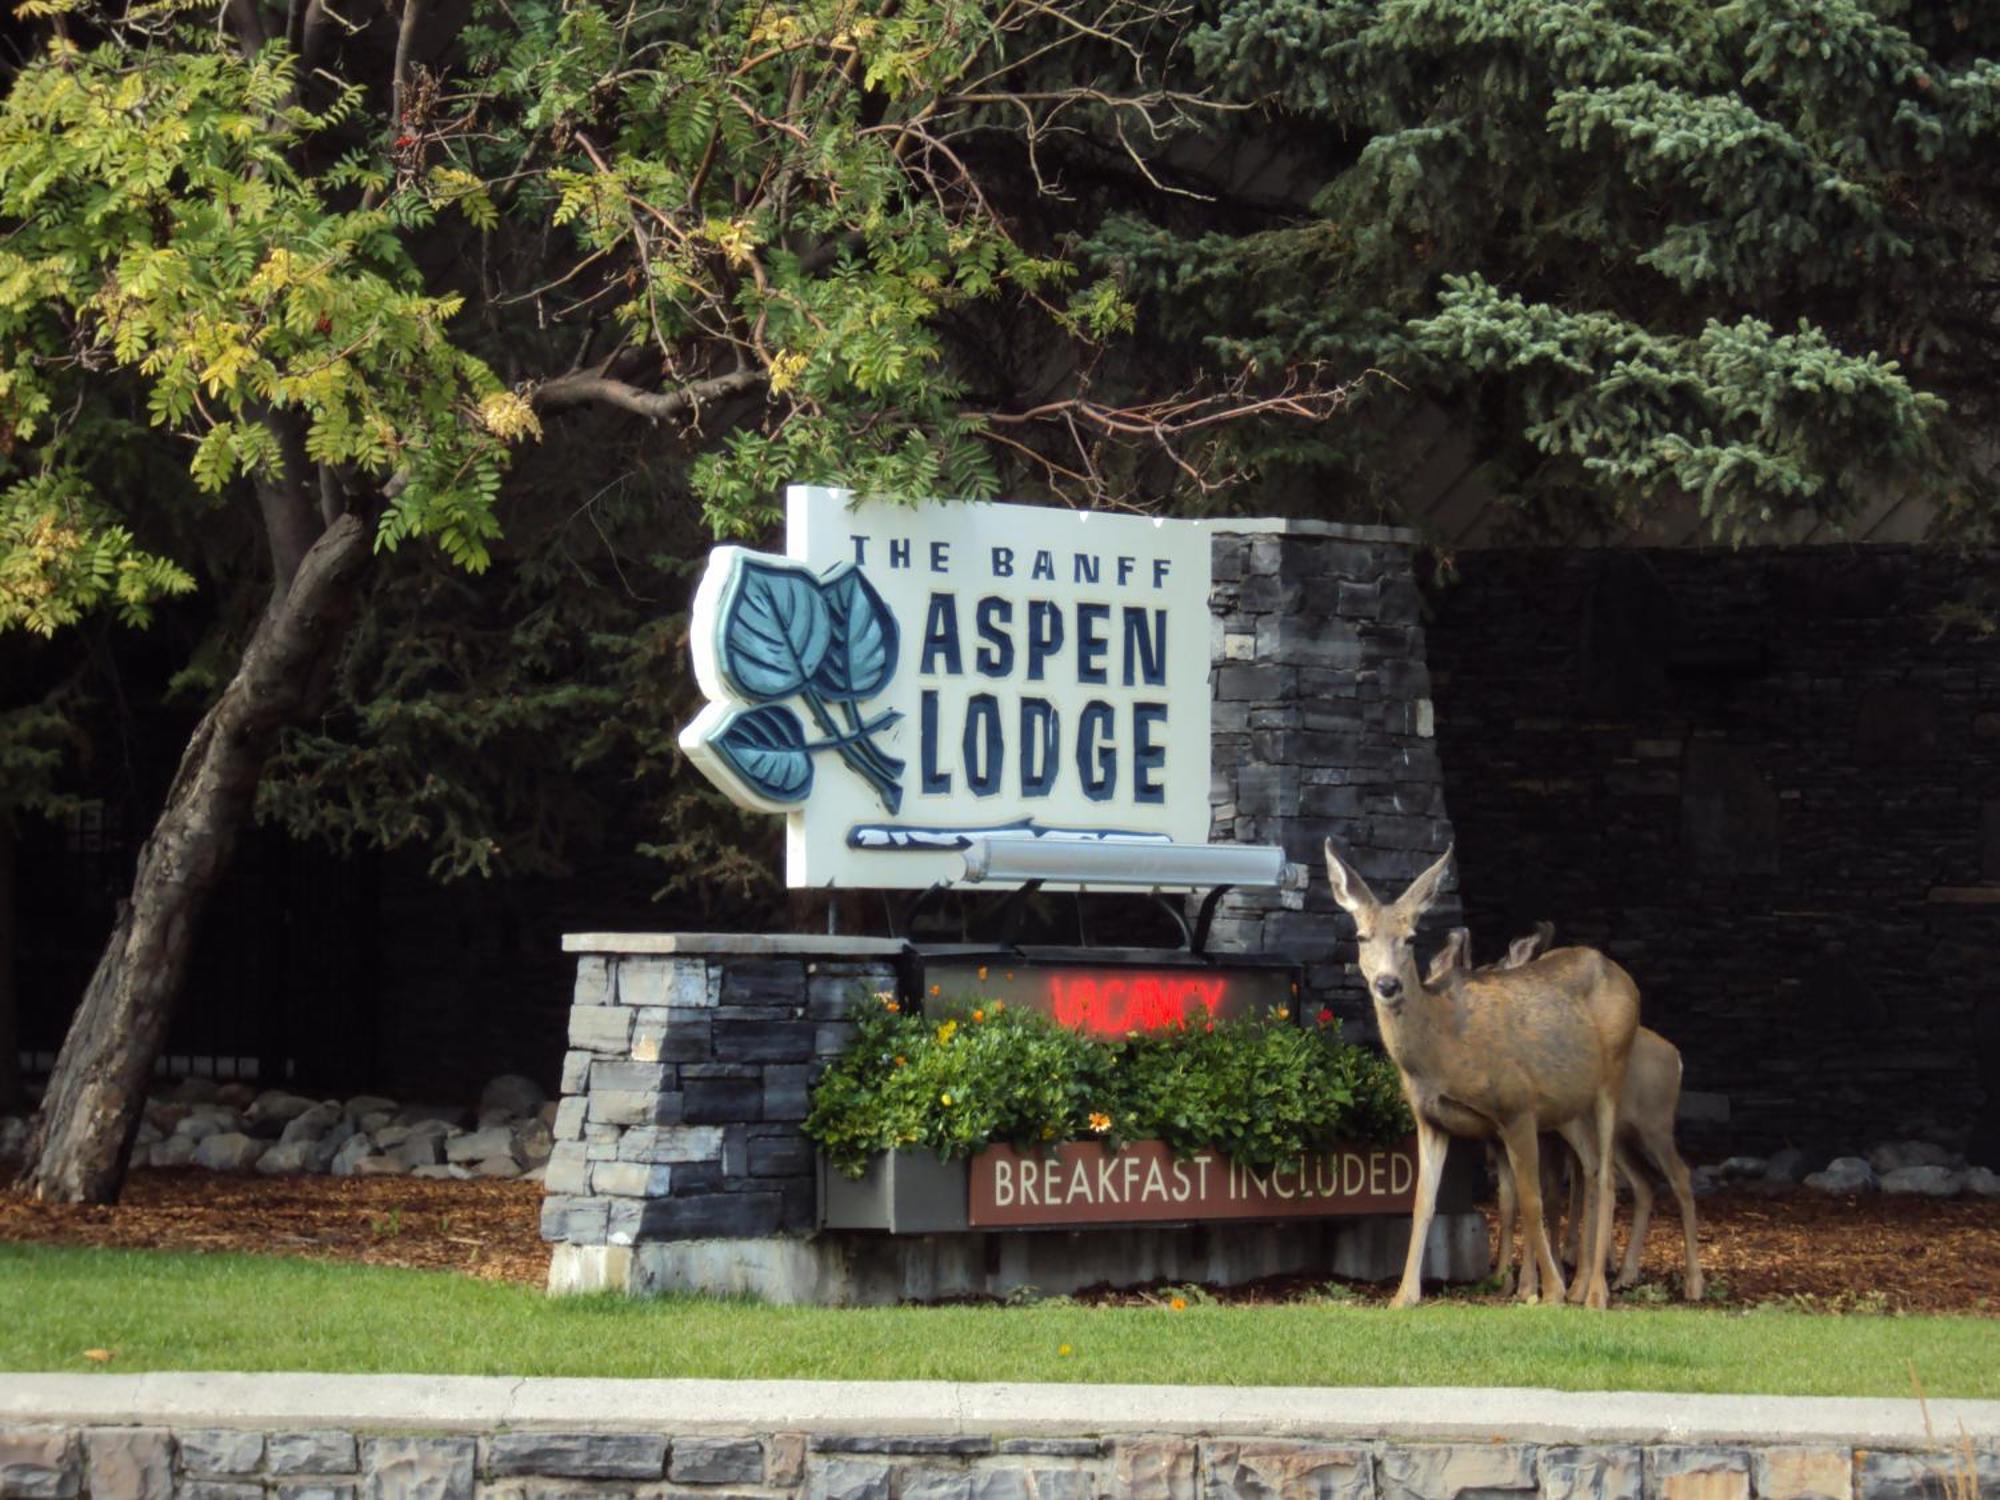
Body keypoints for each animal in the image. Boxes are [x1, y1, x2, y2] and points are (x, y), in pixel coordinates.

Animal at [1320, 848, 1632, 1312]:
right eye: (1361, 936)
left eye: (1410, 938)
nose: (1387, 984)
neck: (1441, 1052)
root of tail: (1624, 977)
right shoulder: (1430, 1120)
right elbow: (1423, 1204)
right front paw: (1404, 1295)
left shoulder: (1517, 1106)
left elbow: (1531, 1199)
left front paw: (1549, 1291)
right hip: (1569, 1107)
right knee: (1592, 1170)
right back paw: (1583, 1287)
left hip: (1613, 1074)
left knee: (1608, 1176)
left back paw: (1592, 1293)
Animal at [1432, 924, 1712, 1312]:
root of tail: (1677, 1056)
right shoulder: (1512, 1141)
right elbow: (1512, 1201)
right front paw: (1506, 1279)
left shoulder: (1541, 1136)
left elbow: (1549, 1198)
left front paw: (1533, 1283)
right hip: (1622, 1138)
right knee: (1641, 1181)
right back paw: (1622, 1275)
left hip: (1654, 1124)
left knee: (1678, 1176)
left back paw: (1690, 1283)